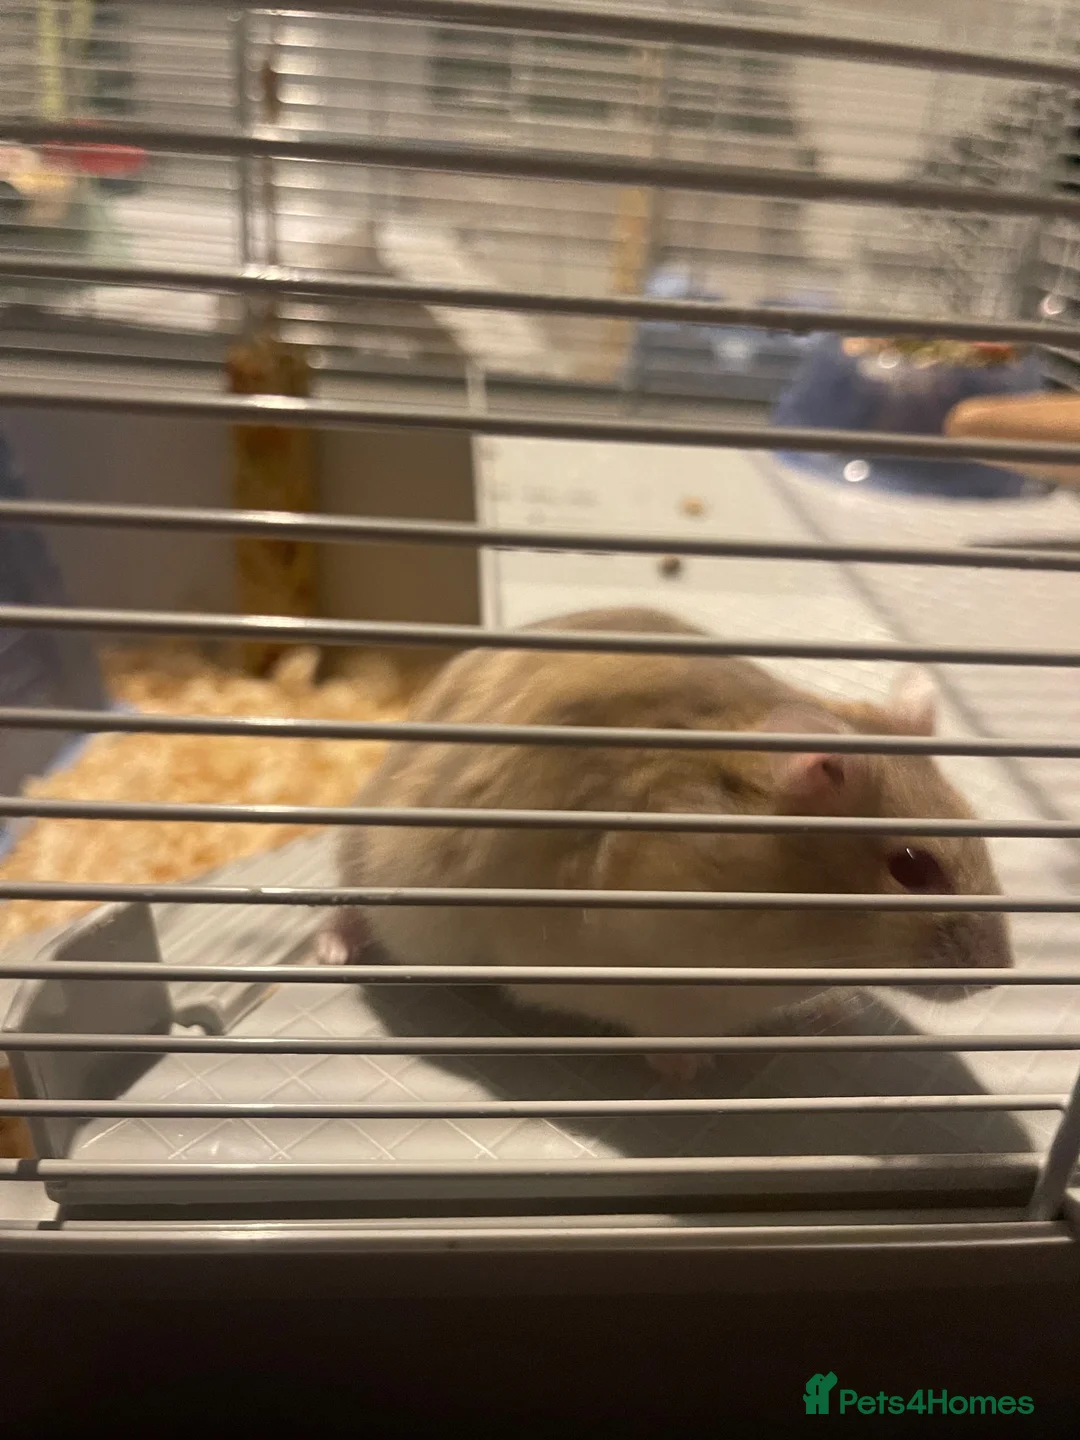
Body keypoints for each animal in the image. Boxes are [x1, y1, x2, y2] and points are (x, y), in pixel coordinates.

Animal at [335, 606, 1012, 1084]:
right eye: (912, 868)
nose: (999, 977)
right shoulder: (620, 974)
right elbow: (658, 1029)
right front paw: (689, 1072)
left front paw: (838, 1012)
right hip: (380, 868)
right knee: (349, 903)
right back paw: (333, 951)